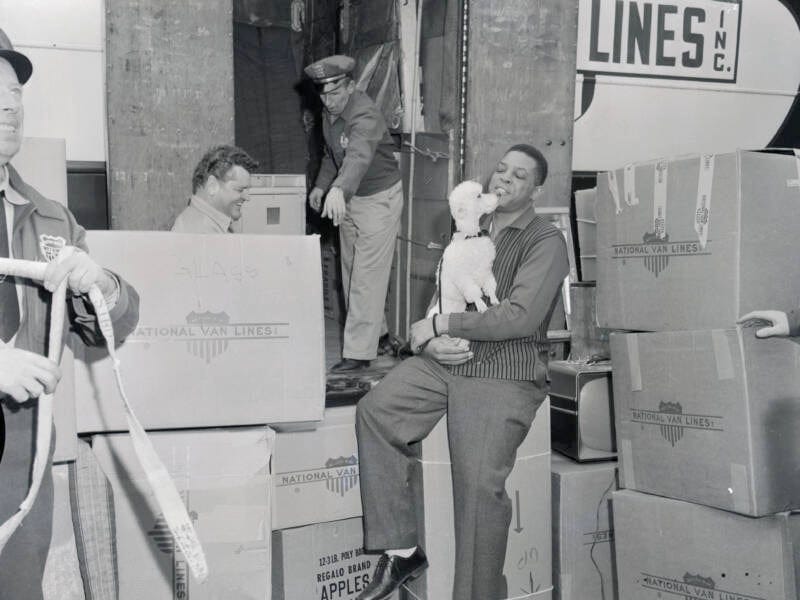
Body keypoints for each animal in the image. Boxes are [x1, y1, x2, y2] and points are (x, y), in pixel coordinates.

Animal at [428, 180, 496, 316]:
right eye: (478, 196)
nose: (497, 196)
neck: (470, 236)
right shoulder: (463, 278)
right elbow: (474, 293)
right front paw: (481, 305)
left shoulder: (485, 270)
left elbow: (490, 286)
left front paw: (494, 298)